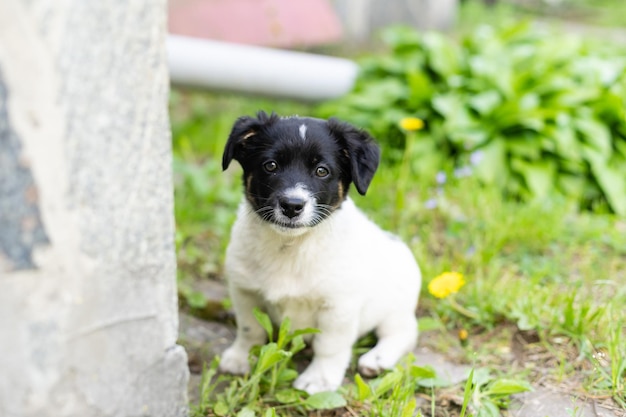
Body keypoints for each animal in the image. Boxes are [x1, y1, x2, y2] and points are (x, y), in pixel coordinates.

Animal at [218, 110, 420, 394]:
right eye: (270, 165)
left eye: (322, 171)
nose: (292, 206)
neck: (291, 247)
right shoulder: (245, 292)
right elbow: (250, 329)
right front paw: (240, 358)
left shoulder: (338, 306)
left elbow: (329, 346)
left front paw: (319, 379)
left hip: (394, 308)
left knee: (405, 332)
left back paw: (377, 359)